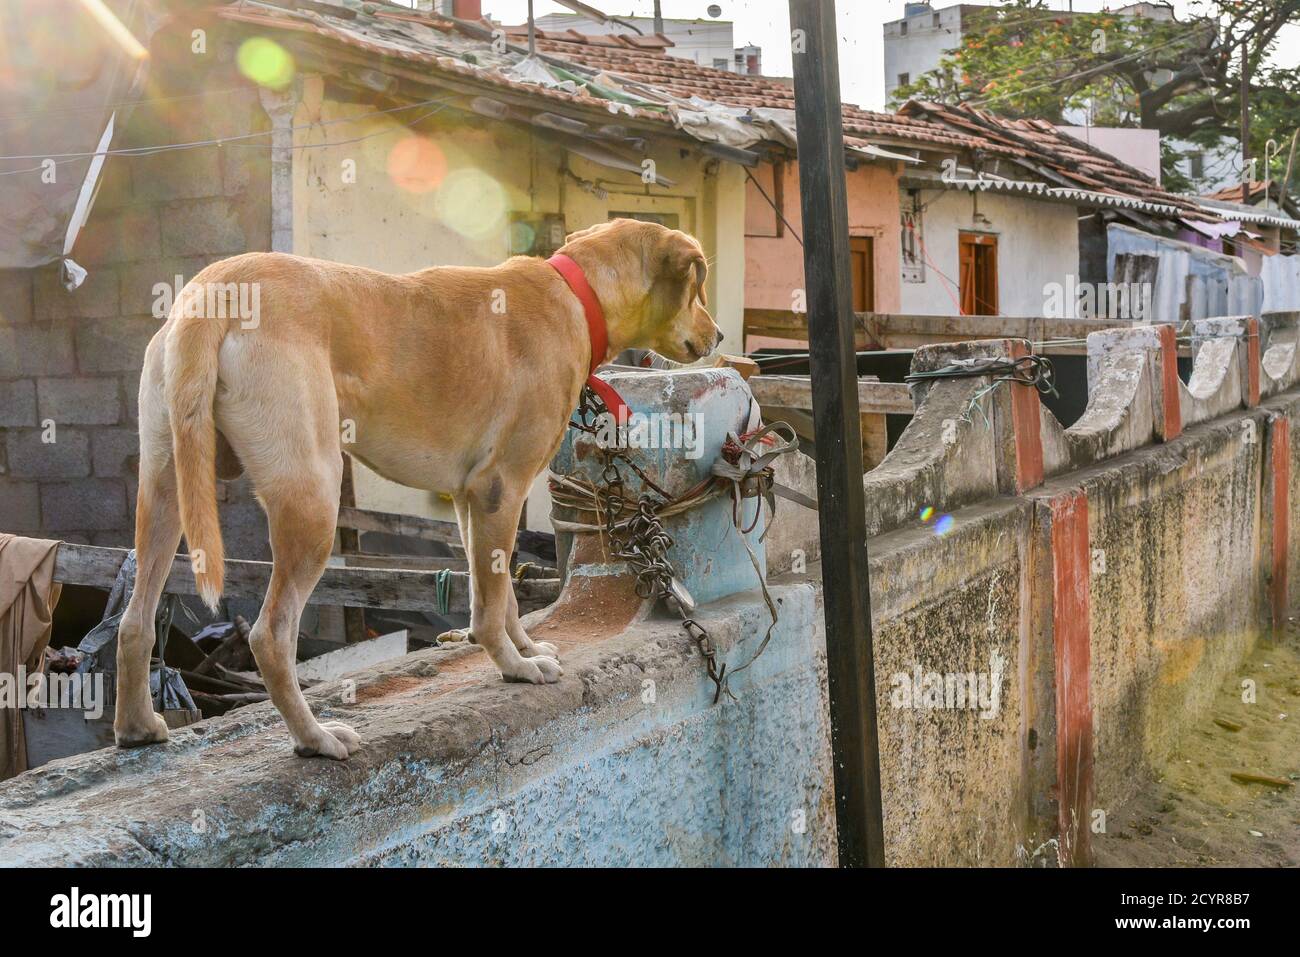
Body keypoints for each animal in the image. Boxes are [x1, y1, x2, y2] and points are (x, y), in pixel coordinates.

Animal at [114, 221, 722, 759]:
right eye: (698, 286)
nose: (718, 336)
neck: (577, 293)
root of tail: (214, 289)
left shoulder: (472, 501)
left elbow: (498, 595)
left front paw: (524, 648)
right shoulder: (501, 489)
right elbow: (492, 606)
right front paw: (516, 668)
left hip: (165, 488)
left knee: (134, 621)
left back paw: (137, 727)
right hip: (313, 500)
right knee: (270, 635)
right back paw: (315, 739)